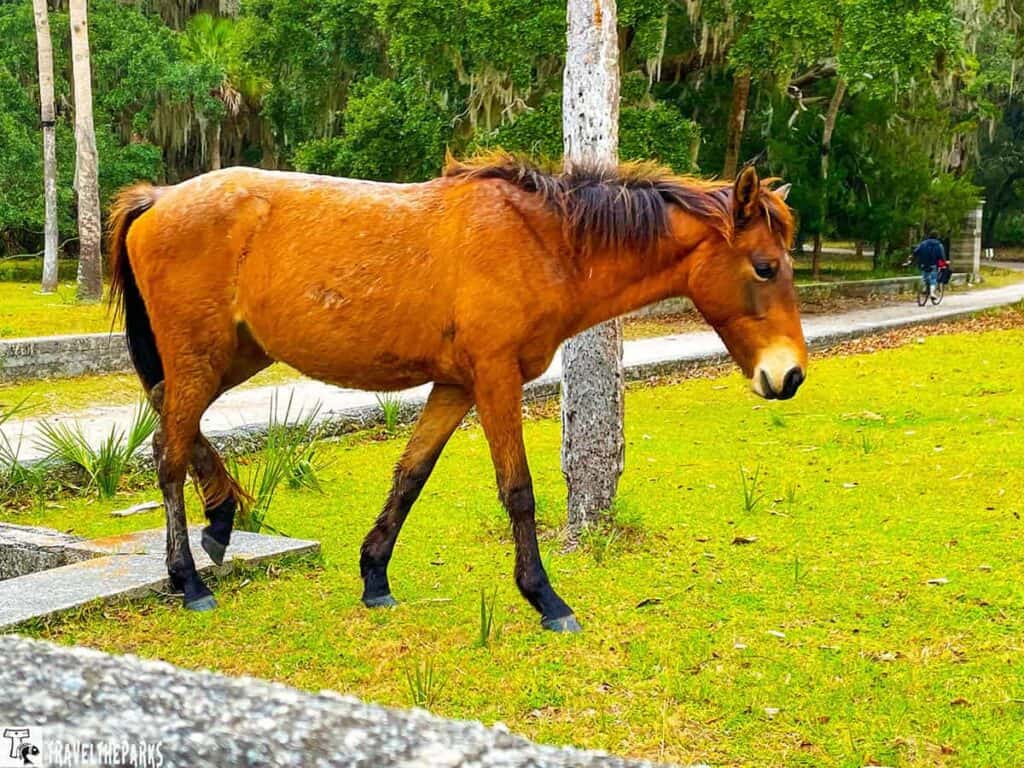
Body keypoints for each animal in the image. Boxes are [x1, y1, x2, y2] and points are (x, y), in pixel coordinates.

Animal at [107, 153, 807, 632]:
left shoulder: (456, 385)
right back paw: (189, 579)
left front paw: (375, 575)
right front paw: (545, 598)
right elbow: (518, 492)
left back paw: (222, 518)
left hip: (232, 355)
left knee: (169, 415)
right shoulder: (496, 378)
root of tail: (159, 199)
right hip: (204, 357)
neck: (541, 240)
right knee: (167, 450)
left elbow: (411, 475)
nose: (790, 375)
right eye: (764, 267)